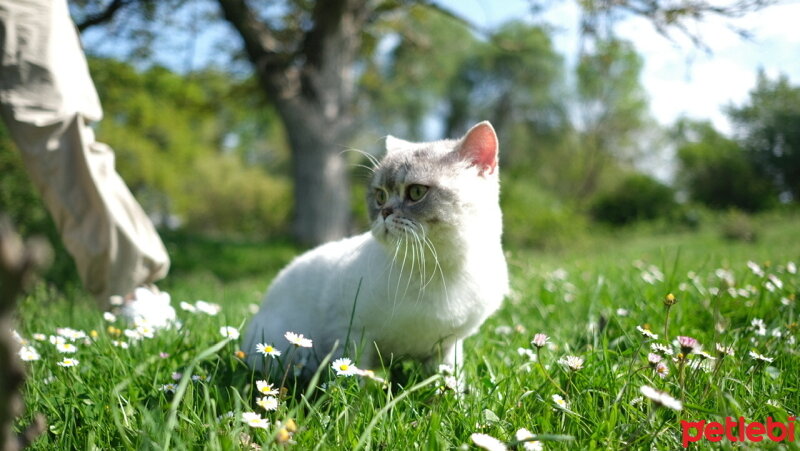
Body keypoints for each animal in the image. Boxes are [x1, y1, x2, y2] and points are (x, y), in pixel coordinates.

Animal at [241, 120, 510, 378]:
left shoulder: (448, 346)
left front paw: (455, 394)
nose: (384, 212)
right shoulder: (351, 333)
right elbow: (350, 379)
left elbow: (448, 380)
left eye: (416, 192)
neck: (437, 270)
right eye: (380, 196)